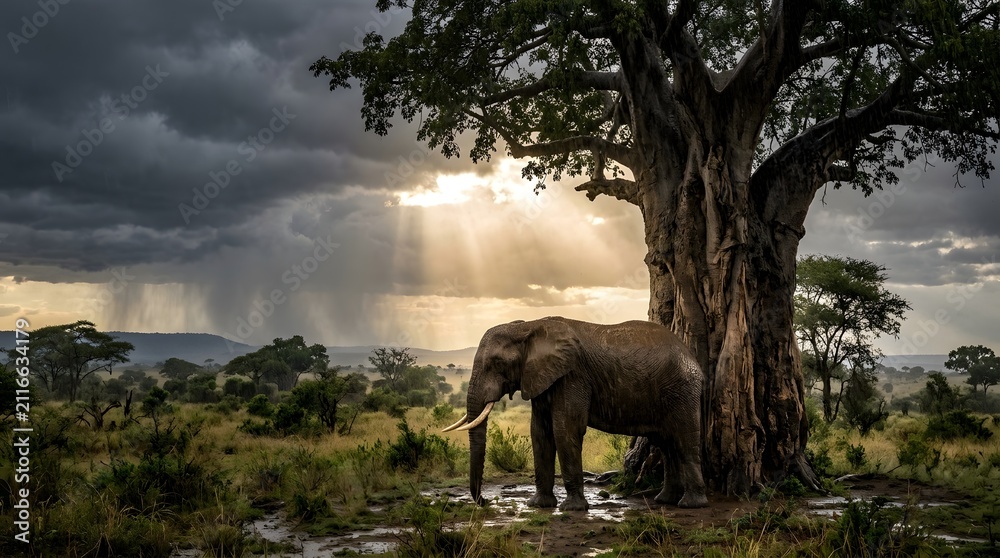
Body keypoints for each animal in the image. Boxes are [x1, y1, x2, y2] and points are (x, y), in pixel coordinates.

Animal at [443, 316, 709, 511]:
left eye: (496, 363)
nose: (485, 501)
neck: (528, 326)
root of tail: (691, 356)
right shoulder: (543, 378)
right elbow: (540, 433)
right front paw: (539, 505)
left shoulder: (572, 376)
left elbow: (565, 428)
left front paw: (572, 509)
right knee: (667, 444)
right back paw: (664, 500)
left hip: (682, 390)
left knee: (684, 441)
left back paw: (691, 505)